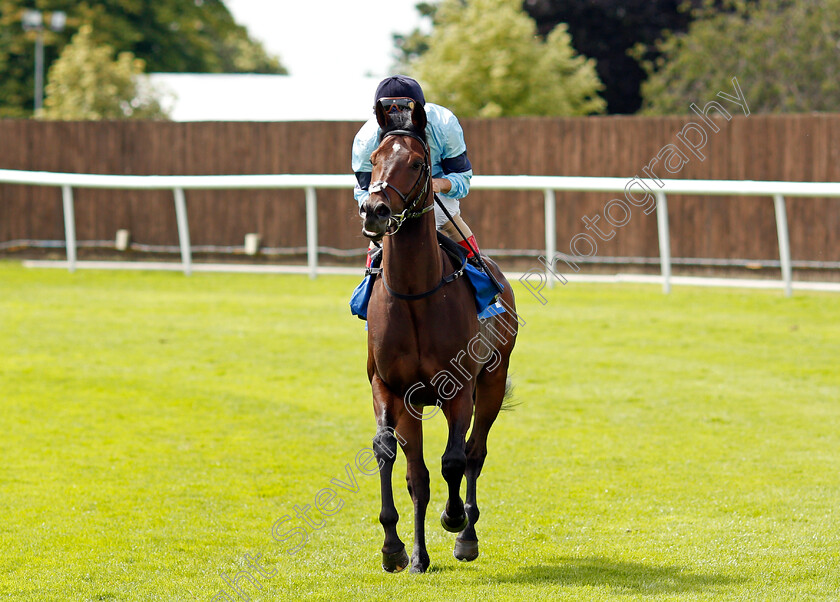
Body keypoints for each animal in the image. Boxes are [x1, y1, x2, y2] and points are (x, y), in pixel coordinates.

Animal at [360, 101, 520, 568]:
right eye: (373, 158)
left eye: (417, 162)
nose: (374, 209)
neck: (416, 294)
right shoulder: (391, 387)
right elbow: (394, 456)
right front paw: (397, 549)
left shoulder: (459, 388)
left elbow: (454, 460)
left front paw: (453, 520)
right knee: (420, 472)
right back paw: (418, 554)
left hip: (493, 379)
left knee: (474, 452)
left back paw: (467, 533)